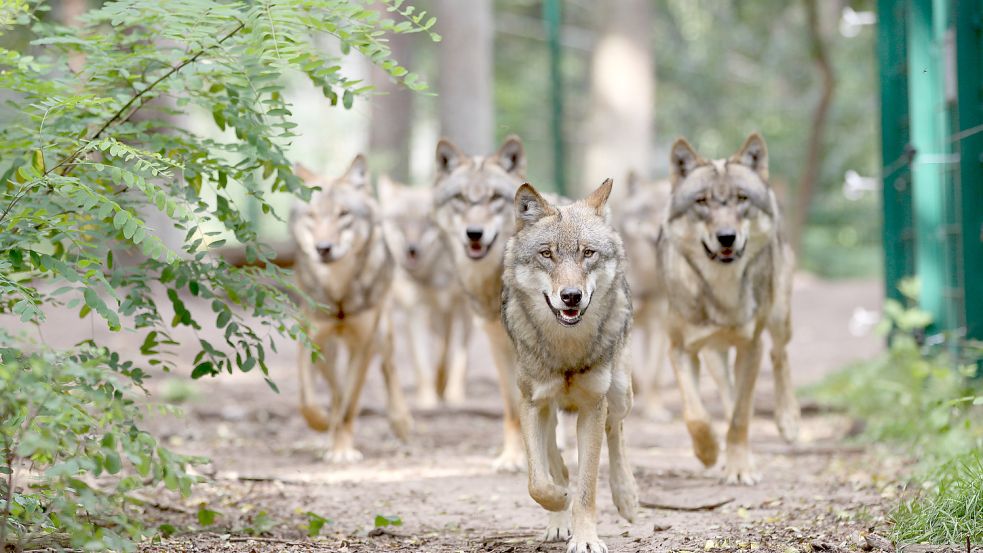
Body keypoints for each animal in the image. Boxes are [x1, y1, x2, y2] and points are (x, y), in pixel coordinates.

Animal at [292, 155, 416, 462]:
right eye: (312, 215)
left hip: (382, 331)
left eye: (343, 214)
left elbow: (349, 402)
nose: (323, 248)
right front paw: (325, 425)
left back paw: (401, 420)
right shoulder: (311, 339)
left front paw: (342, 451)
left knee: (388, 366)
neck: (339, 293)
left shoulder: (363, 344)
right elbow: (310, 400)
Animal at [378, 175, 474, 408]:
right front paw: (427, 399)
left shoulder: (464, 310)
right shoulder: (416, 310)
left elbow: (459, 358)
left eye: (426, 221)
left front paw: (455, 395)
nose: (411, 249)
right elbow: (422, 363)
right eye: (400, 220)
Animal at [434, 136, 532, 468]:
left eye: (494, 198)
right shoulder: (498, 345)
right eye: (461, 199)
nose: (474, 233)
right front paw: (512, 458)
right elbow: (513, 409)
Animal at [500, 179, 640, 548]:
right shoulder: (532, 403)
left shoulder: (593, 405)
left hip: (619, 392)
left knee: (617, 430)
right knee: (555, 461)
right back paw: (559, 518)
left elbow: (587, 486)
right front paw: (560, 501)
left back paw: (627, 496)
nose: (571, 296)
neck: (566, 349)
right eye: (547, 254)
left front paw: (586, 539)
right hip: (548, 409)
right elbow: (538, 482)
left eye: (587, 253)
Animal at [652, 135, 800, 484]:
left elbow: (740, 418)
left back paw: (788, 421)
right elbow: (696, 415)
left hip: (778, 318)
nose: (726, 237)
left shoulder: (750, 347)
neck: (722, 291)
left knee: (779, 355)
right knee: (728, 393)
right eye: (702, 201)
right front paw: (708, 452)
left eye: (741, 199)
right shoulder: (680, 349)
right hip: (713, 354)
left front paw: (740, 469)